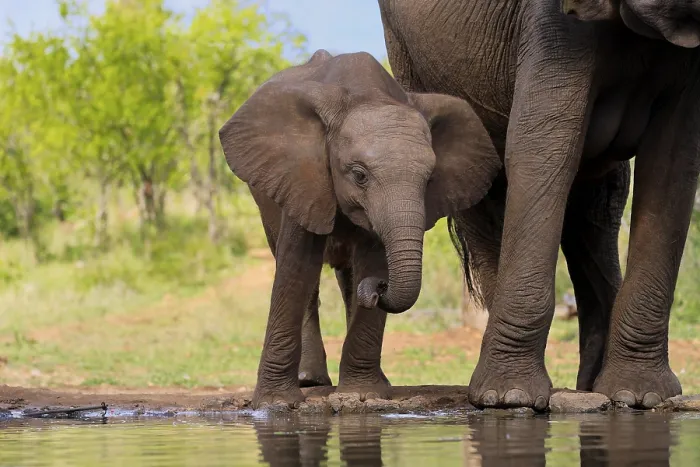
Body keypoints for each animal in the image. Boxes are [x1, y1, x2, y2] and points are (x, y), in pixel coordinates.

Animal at [218, 50, 500, 407]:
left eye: (430, 179)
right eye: (359, 175)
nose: (379, 288)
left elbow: (371, 259)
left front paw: (363, 395)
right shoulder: (303, 178)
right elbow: (296, 268)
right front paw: (275, 404)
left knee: (349, 280)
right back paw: (310, 381)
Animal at [378, 0, 700, 410]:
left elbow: (673, 162)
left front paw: (640, 396)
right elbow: (544, 148)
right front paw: (510, 397)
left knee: (596, 209)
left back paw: (595, 388)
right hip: (411, 58)